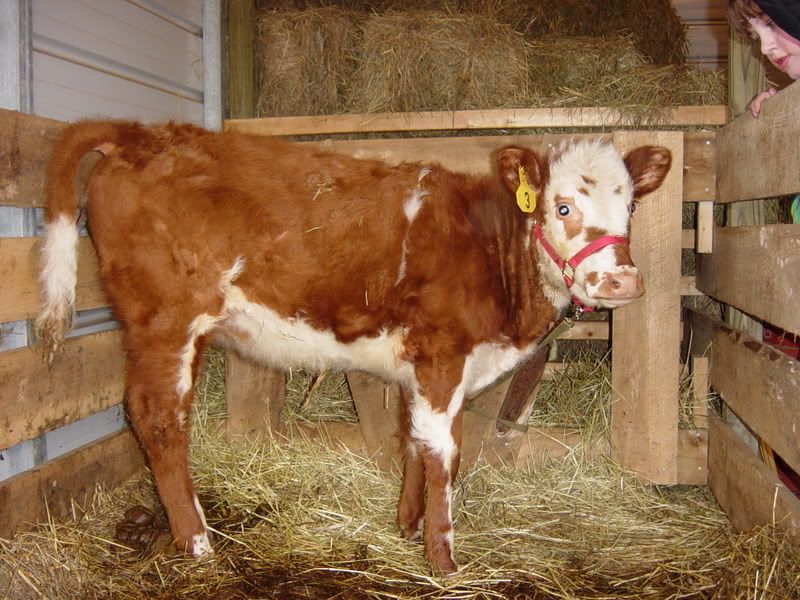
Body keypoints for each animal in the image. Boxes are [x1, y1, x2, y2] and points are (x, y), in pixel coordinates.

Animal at [36, 120, 671, 574]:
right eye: (562, 207)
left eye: (631, 207)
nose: (622, 282)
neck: (490, 250)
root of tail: (143, 133)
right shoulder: (442, 354)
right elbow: (444, 455)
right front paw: (443, 559)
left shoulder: (426, 366)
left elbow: (415, 441)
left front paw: (407, 527)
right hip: (164, 321)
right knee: (160, 419)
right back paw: (196, 544)